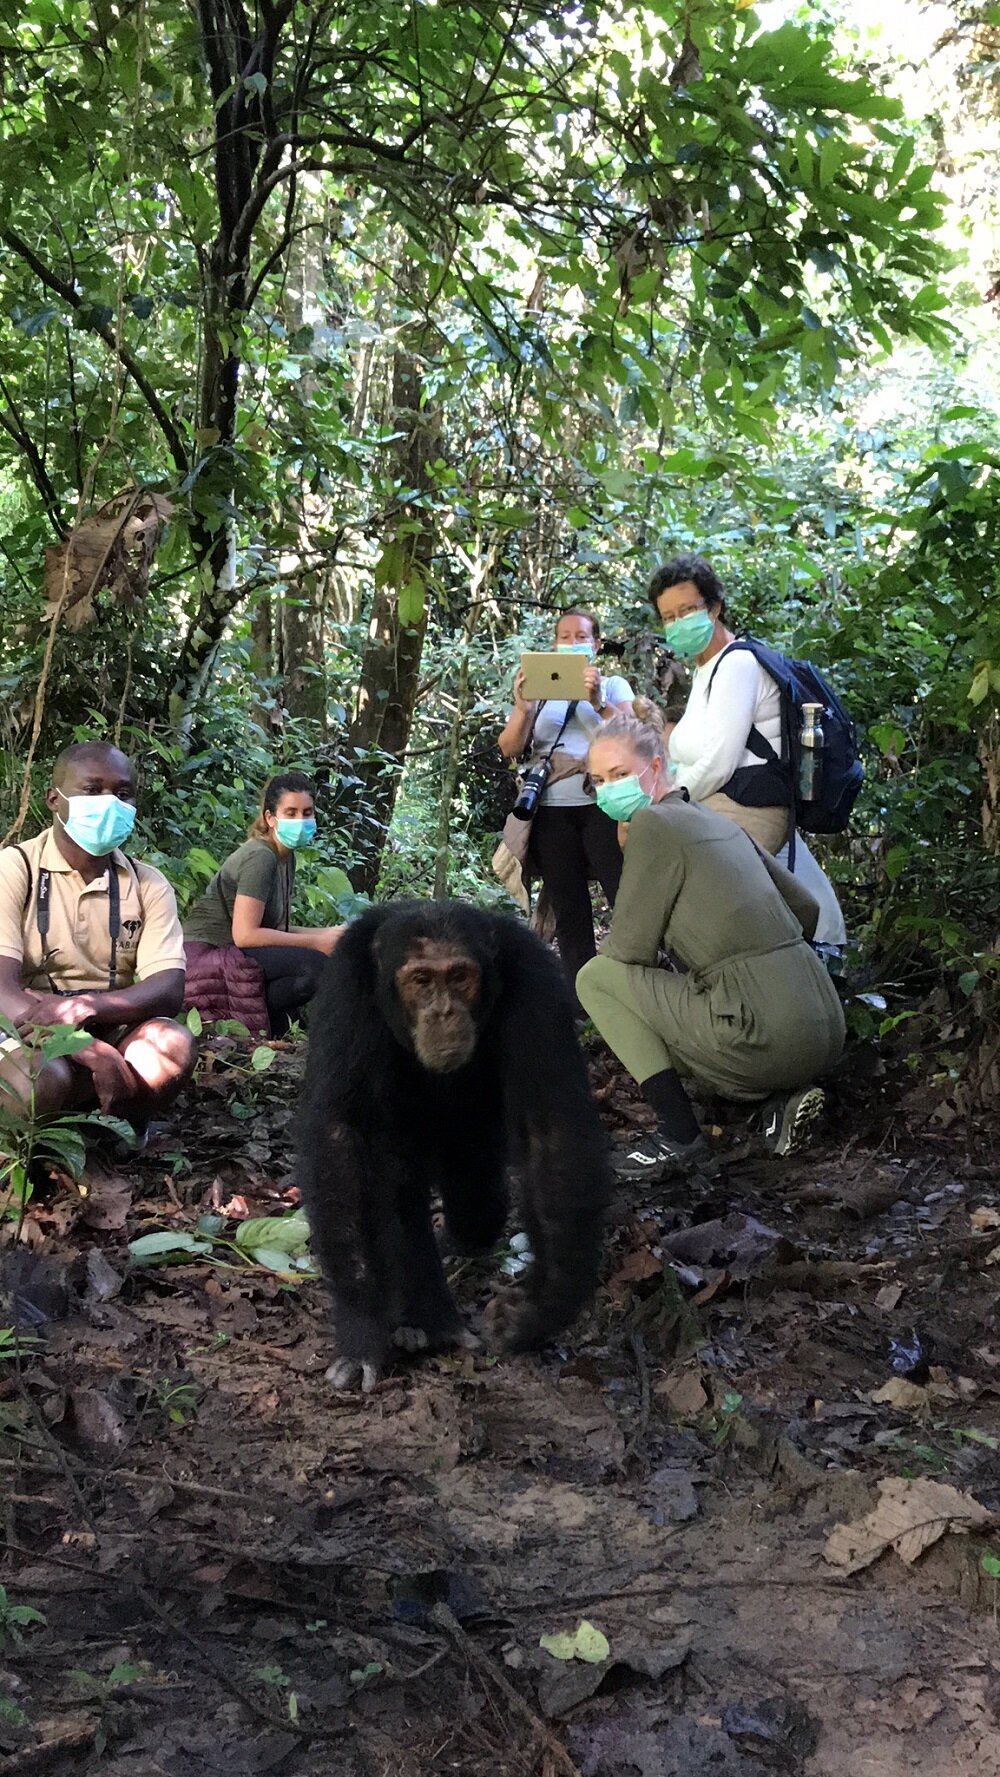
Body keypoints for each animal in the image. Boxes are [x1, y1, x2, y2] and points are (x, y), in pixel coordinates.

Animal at [294, 902, 611, 1386]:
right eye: (422, 980)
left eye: (460, 976)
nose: (443, 1012)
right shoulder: (346, 986)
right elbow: (341, 1133)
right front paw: (362, 1324)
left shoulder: (536, 980)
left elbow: (550, 1129)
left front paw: (538, 1307)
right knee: (400, 1191)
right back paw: (430, 1319)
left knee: (476, 1200)